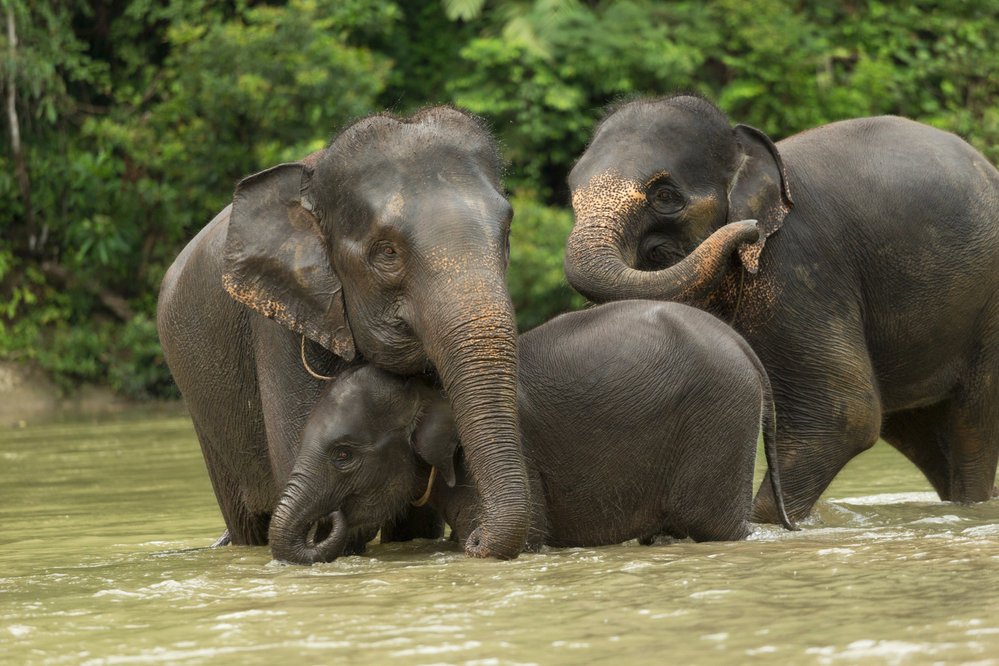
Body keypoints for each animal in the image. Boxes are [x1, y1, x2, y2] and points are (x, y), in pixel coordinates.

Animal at [268, 298, 796, 564]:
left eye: (343, 455)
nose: (331, 518)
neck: (428, 387)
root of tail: (744, 348)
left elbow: (530, 534)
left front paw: (478, 542)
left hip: (721, 421)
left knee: (716, 527)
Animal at [564, 93, 999, 520]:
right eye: (572, 196)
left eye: (665, 196)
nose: (749, 229)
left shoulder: (800, 267)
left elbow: (845, 414)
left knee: (971, 427)